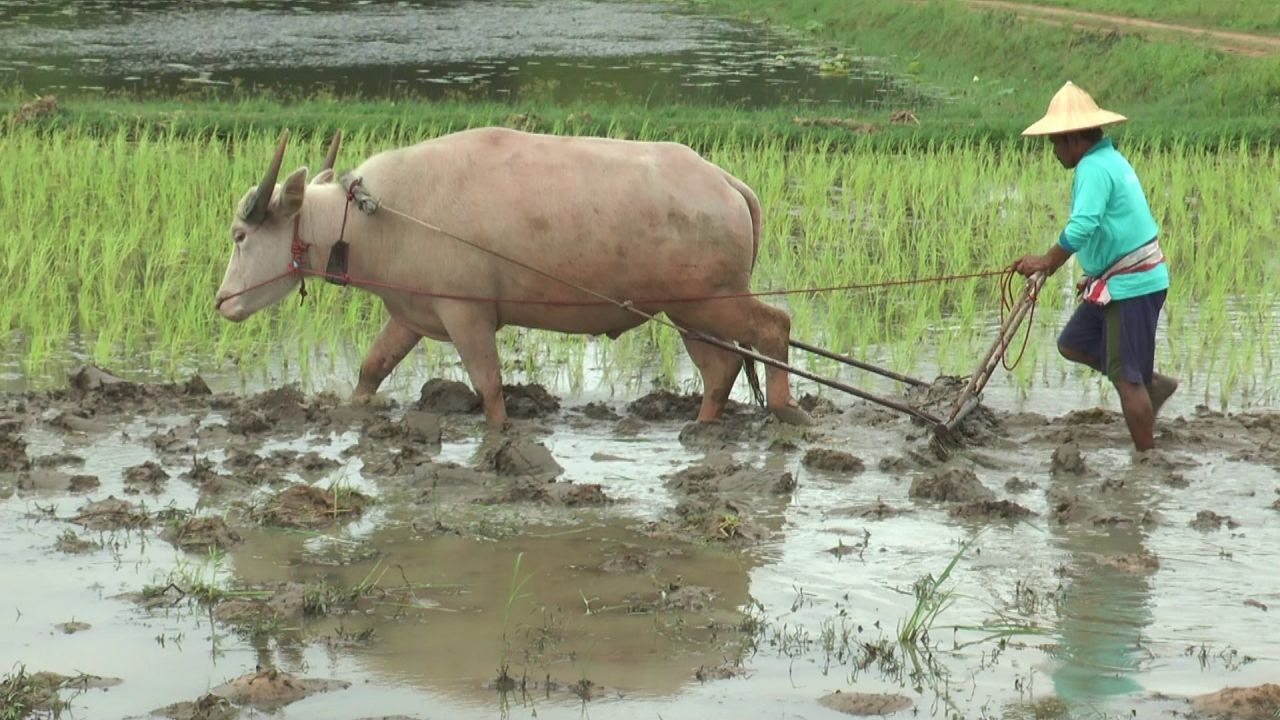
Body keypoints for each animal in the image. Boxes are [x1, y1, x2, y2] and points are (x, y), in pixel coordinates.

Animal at [212, 128, 808, 422]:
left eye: (240, 236)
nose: (221, 302)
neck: (374, 215)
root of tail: (727, 183)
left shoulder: (466, 314)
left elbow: (491, 388)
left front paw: (499, 438)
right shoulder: (413, 312)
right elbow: (371, 368)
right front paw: (355, 411)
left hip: (710, 301)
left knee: (773, 325)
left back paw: (785, 409)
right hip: (688, 313)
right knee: (721, 369)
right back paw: (700, 428)